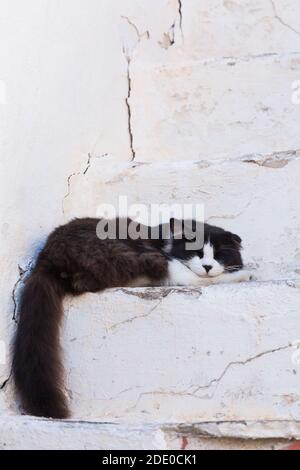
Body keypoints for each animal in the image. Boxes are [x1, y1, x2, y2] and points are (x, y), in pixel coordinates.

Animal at [12, 218, 251, 420]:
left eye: (218, 255)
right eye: (197, 253)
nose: (208, 266)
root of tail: (46, 257)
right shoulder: (169, 261)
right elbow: (200, 278)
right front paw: (240, 273)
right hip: (129, 253)